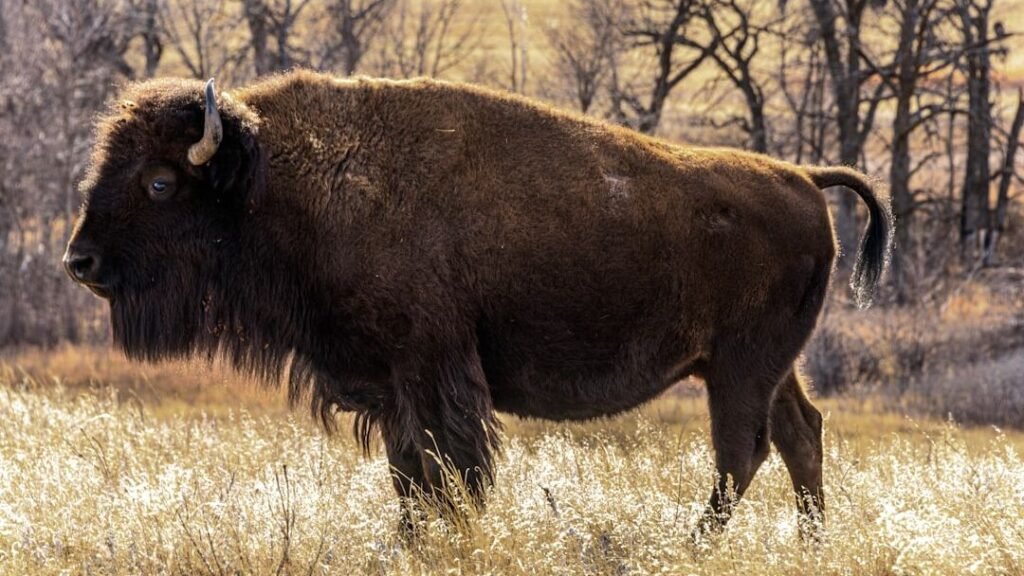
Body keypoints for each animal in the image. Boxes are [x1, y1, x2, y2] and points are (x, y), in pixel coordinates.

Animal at [64, 70, 891, 534]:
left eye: (160, 182)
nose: (80, 260)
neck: (276, 179)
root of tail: (803, 177)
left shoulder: (433, 372)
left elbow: (449, 469)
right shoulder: (389, 387)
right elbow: (409, 474)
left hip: (738, 370)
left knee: (742, 453)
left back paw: (693, 544)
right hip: (767, 367)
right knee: (801, 436)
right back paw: (810, 545)